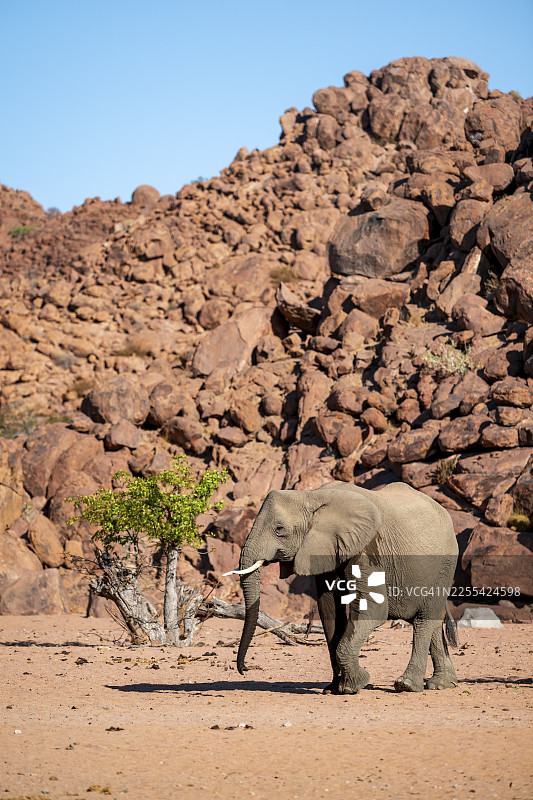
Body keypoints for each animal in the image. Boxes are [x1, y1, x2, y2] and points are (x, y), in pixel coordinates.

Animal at [226, 481, 459, 694]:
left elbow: (373, 608)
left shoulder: (366, 547)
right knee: (430, 619)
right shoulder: (323, 549)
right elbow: (329, 610)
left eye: (279, 529)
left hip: (445, 564)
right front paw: (333, 688)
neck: (311, 497)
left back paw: (407, 685)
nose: (245, 669)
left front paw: (355, 685)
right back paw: (442, 684)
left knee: (424, 618)